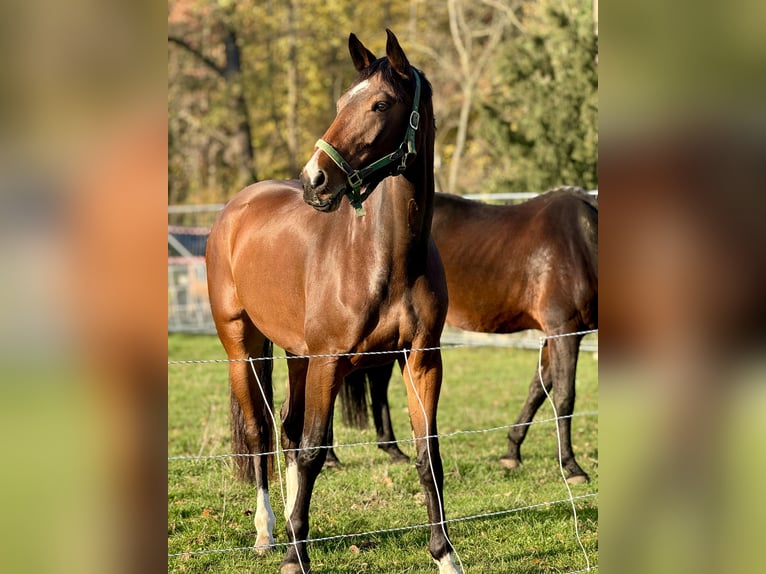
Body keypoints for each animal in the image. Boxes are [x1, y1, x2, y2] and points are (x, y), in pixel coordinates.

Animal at [206, 30, 461, 574]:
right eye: (342, 102)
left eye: (380, 103)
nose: (314, 180)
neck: (386, 258)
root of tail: (235, 208)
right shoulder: (330, 361)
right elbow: (313, 452)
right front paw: (294, 557)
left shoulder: (421, 360)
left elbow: (427, 454)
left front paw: (445, 554)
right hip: (243, 346)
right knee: (261, 433)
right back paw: (268, 533)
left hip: (296, 354)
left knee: (286, 428)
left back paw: (286, 521)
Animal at [332, 187, 598, 484]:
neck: (582, 240)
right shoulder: (565, 330)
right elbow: (564, 397)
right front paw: (572, 467)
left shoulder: (556, 335)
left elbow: (538, 390)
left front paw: (511, 452)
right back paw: (332, 458)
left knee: (377, 385)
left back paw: (393, 451)